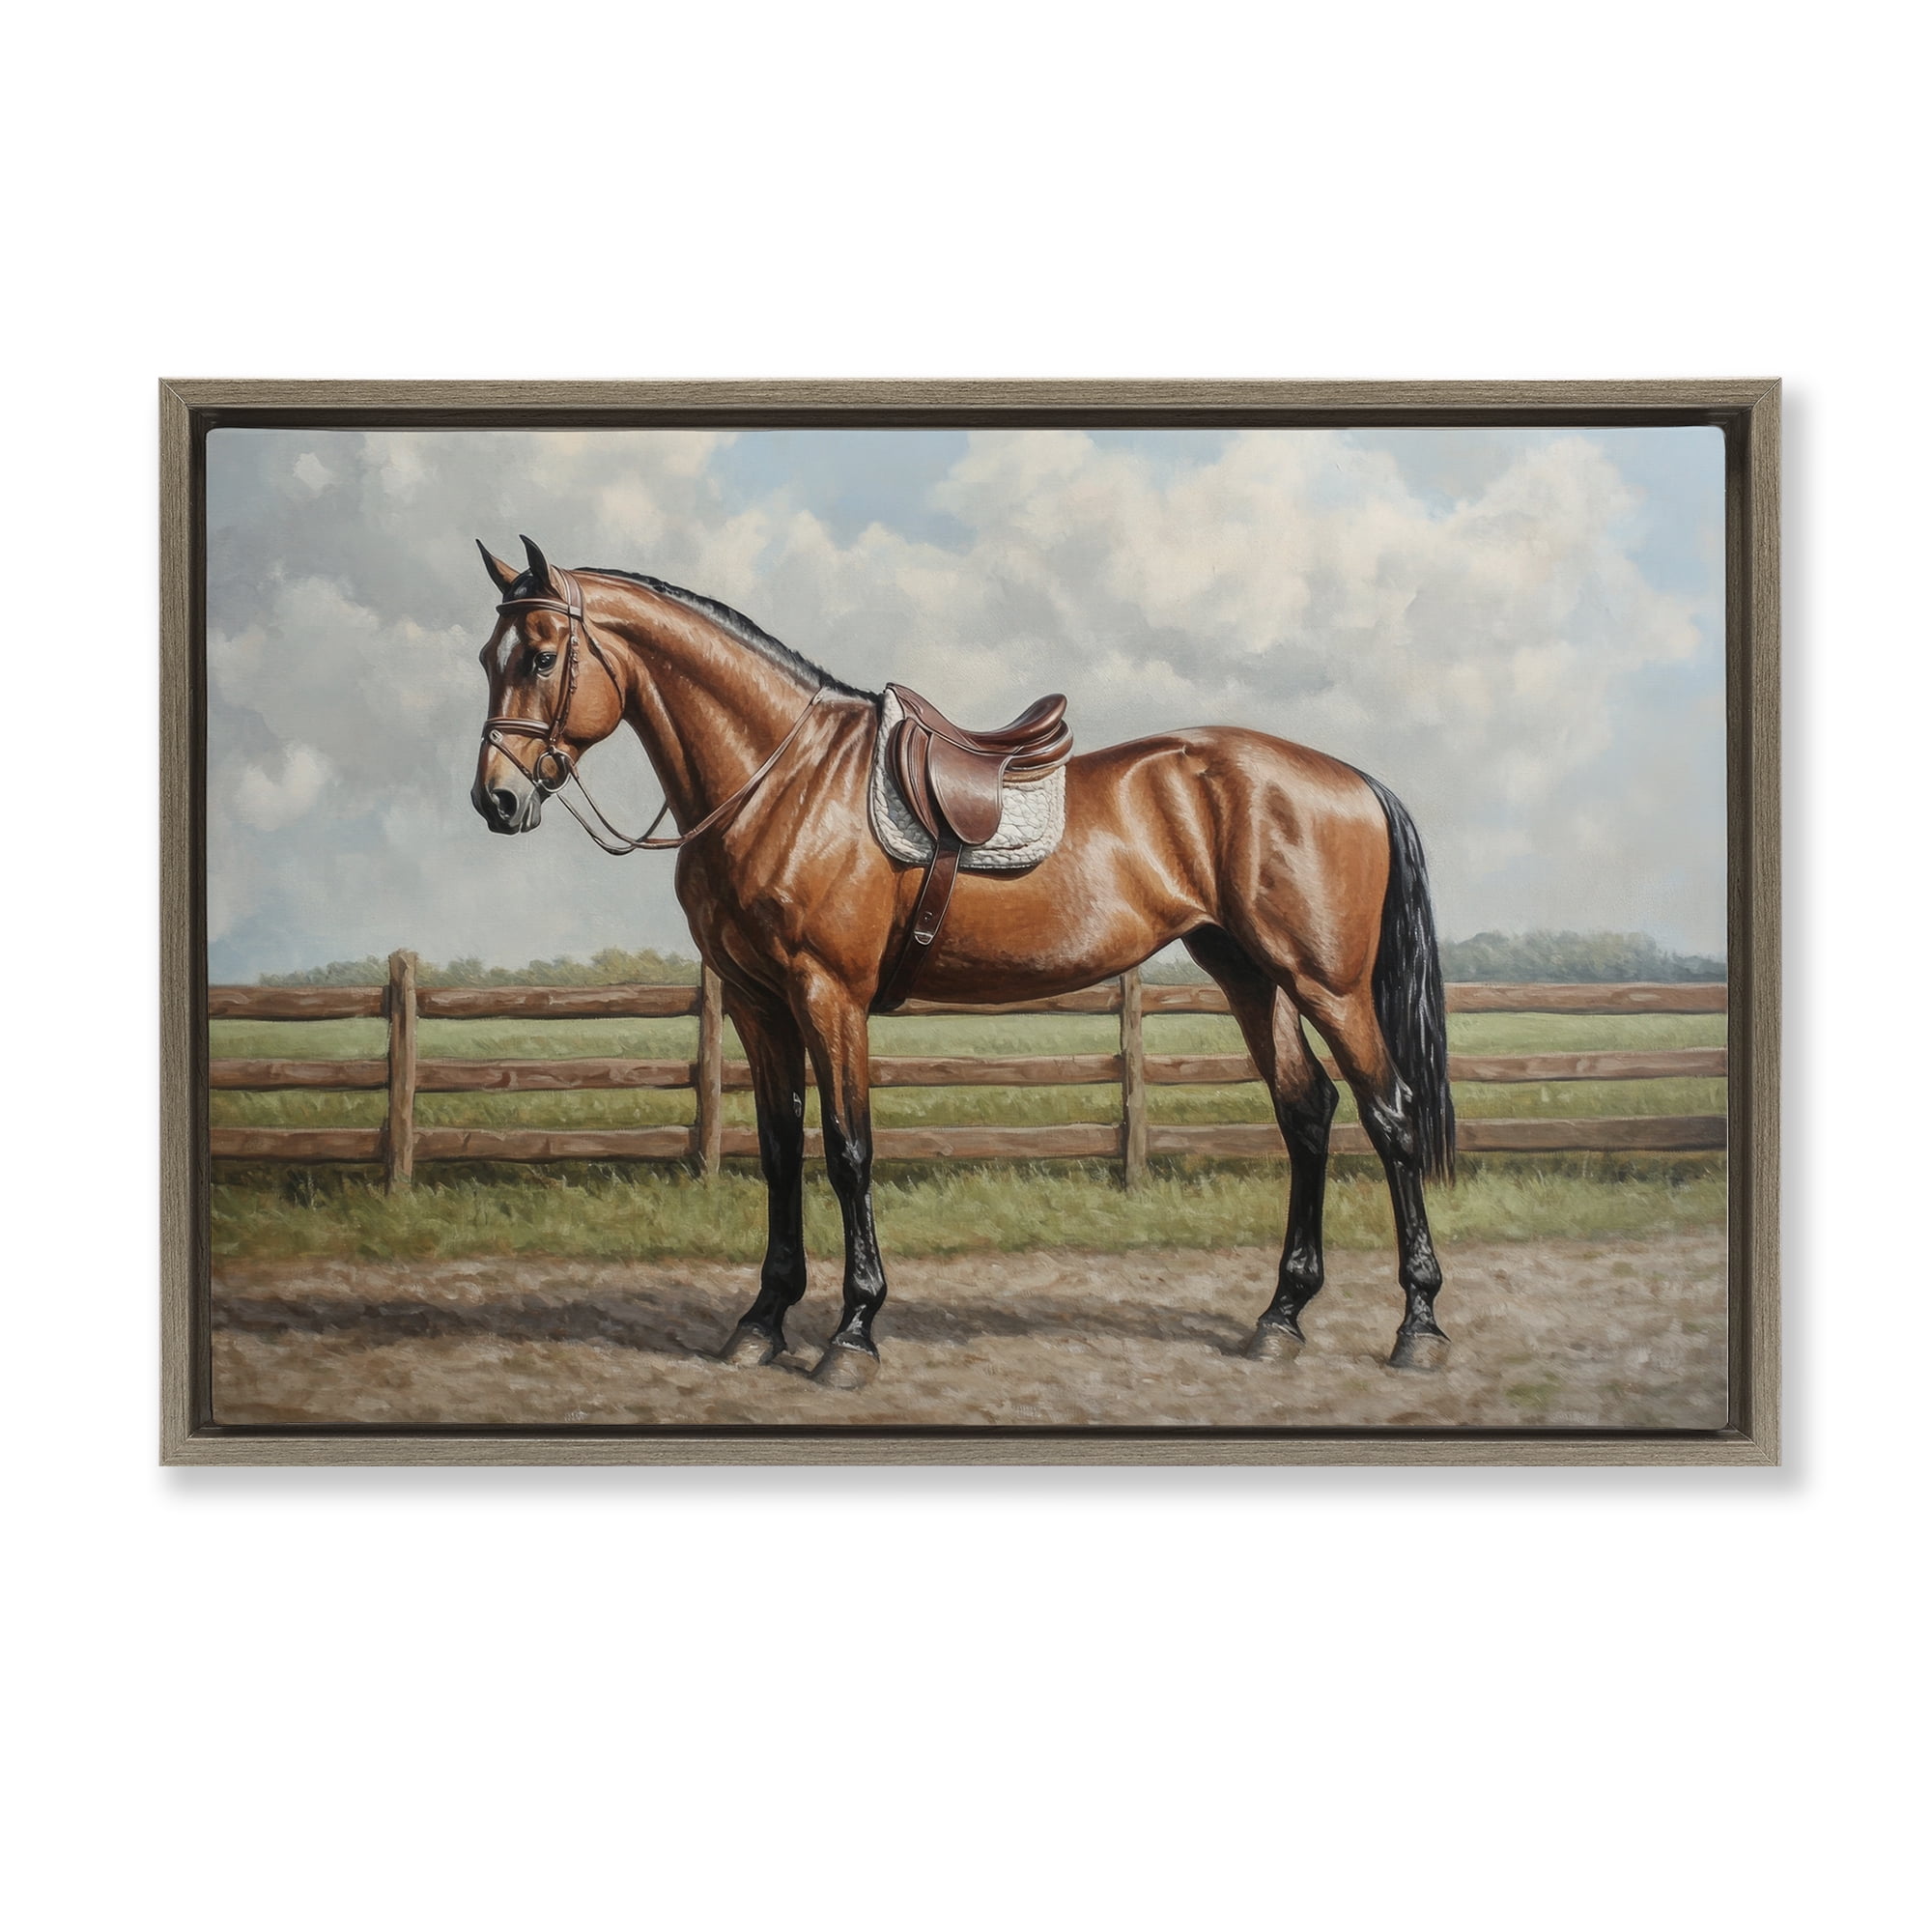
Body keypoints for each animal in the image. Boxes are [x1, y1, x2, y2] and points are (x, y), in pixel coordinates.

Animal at [470, 536, 1455, 1390]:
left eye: (544, 655)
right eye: (489, 655)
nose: (497, 800)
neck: (779, 780)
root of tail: (1351, 780)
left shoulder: (828, 995)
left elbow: (848, 1150)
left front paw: (853, 1333)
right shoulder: (757, 1004)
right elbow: (782, 1150)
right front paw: (761, 1321)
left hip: (1328, 985)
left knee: (1390, 1115)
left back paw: (1419, 1327)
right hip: (1252, 976)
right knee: (1307, 1113)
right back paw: (1280, 1319)